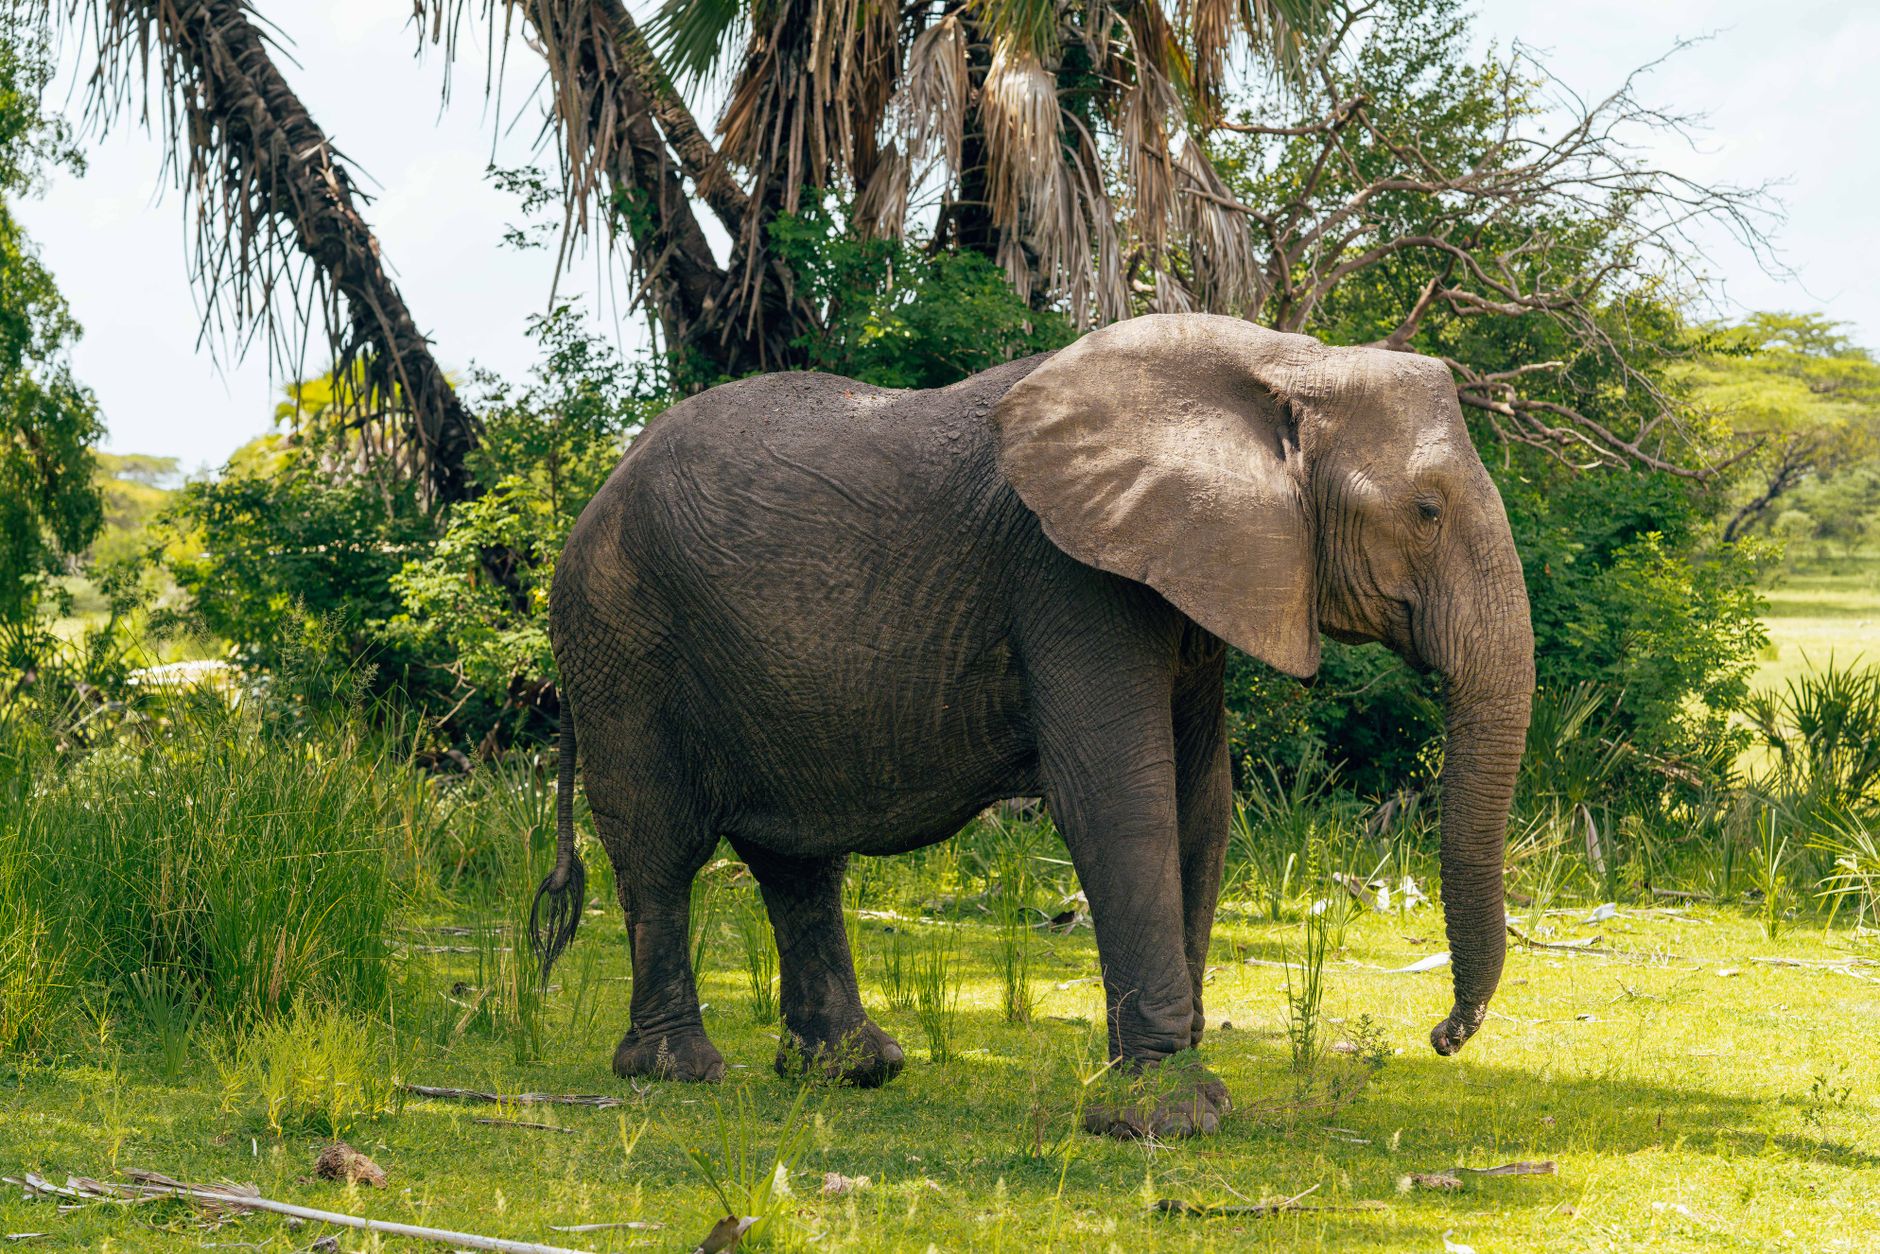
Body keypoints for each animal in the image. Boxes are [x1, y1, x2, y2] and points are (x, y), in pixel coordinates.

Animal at [529, 312, 1534, 1138]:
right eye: (1428, 511)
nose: (1443, 1036)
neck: (1283, 363)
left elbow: (1200, 800)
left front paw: (1181, 1081)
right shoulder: (1067, 576)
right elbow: (1119, 800)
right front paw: (1163, 1118)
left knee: (797, 859)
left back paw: (853, 1070)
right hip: (622, 636)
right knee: (660, 847)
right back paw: (680, 1072)